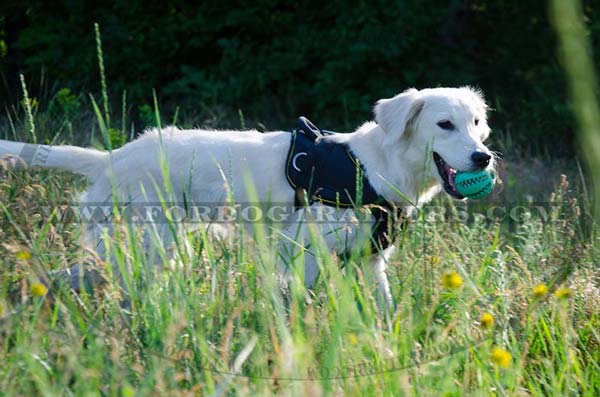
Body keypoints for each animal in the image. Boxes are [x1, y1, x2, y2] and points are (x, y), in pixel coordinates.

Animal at [1, 87, 492, 306]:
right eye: (444, 124)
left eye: (475, 123)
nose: (483, 157)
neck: (373, 169)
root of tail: (110, 158)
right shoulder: (306, 257)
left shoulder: (370, 264)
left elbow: (385, 313)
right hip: (143, 249)